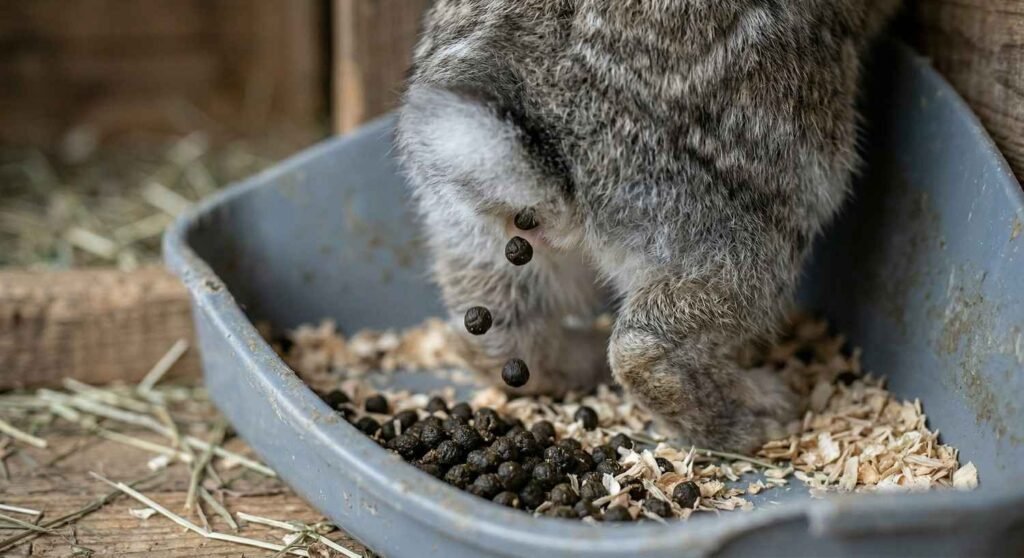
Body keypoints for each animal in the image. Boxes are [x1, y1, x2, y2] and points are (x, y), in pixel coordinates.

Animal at [396, 0, 900, 452]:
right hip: (735, 233)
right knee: (649, 344)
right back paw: (758, 418)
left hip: (472, 229)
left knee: (496, 332)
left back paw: (579, 363)